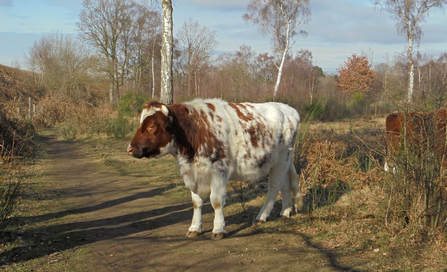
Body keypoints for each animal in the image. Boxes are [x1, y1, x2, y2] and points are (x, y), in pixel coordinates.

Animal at [127, 99, 304, 239]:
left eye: (151, 126)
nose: (130, 148)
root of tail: (289, 109)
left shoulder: (219, 171)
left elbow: (216, 202)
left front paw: (218, 229)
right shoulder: (193, 174)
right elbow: (196, 202)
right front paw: (194, 228)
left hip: (282, 158)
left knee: (274, 188)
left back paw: (262, 216)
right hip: (283, 161)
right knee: (285, 184)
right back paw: (285, 212)